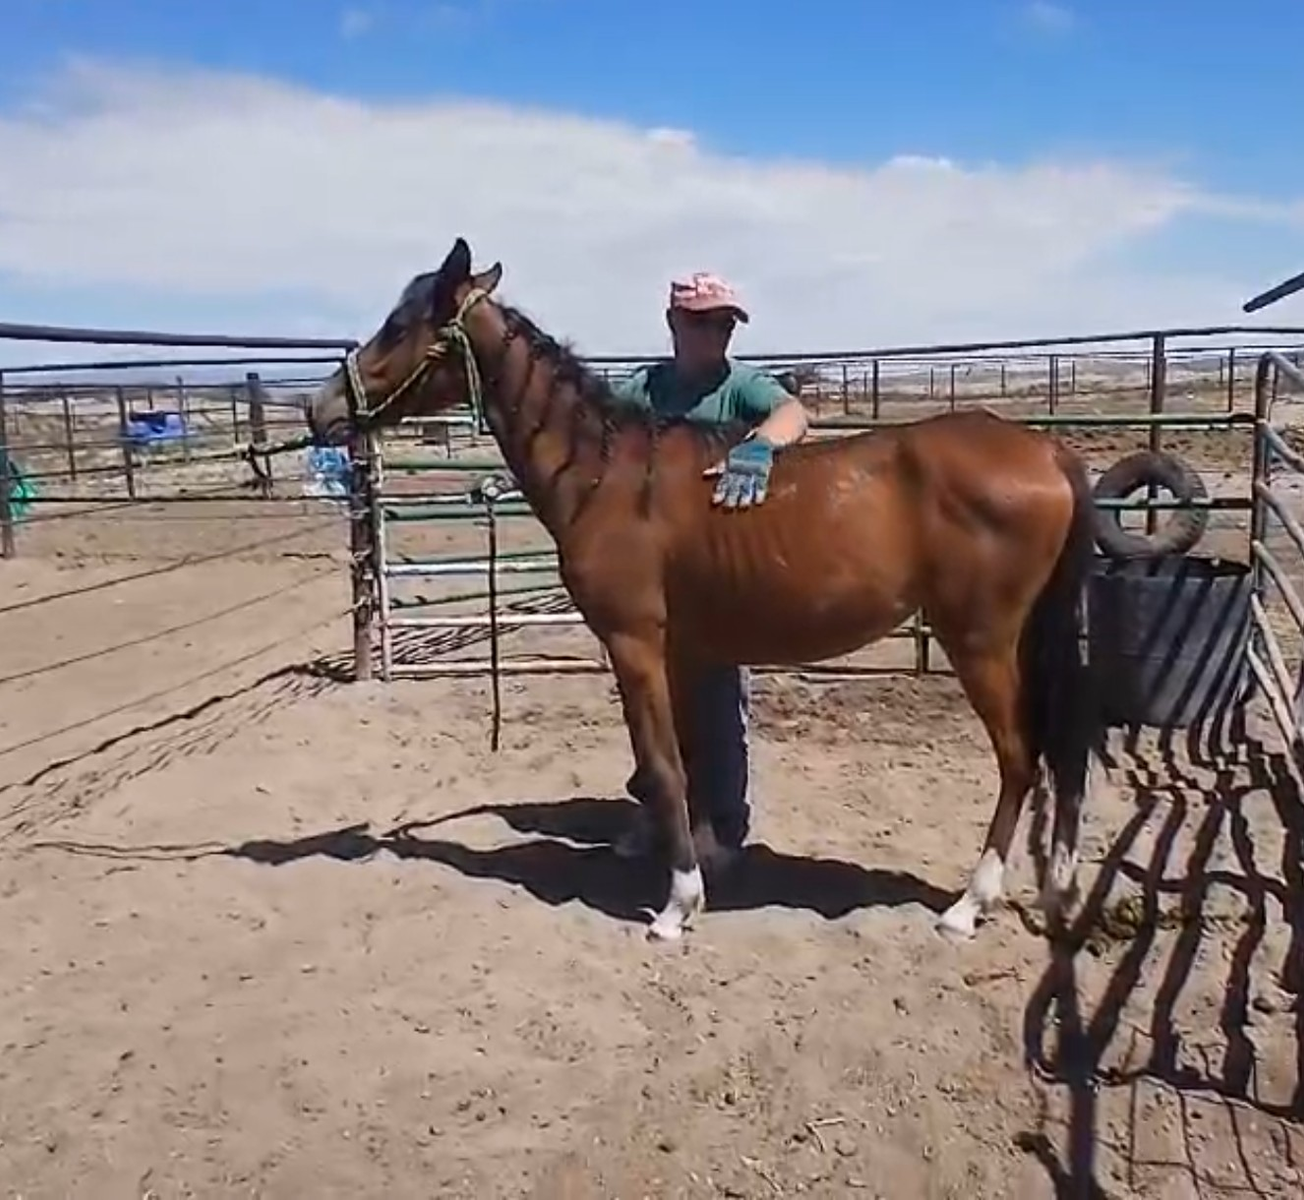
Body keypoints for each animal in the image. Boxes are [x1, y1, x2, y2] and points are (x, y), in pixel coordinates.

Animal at [306, 236, 1102, 944]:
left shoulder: (633, 644)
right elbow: (688, 760)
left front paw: (676, 906)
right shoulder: (683, 651)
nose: (320, 411)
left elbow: (662, 767)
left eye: (401, 326)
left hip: (981, 641)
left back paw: (970, 905)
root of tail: (1048, 451)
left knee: (1019, 758)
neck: (612, 479)